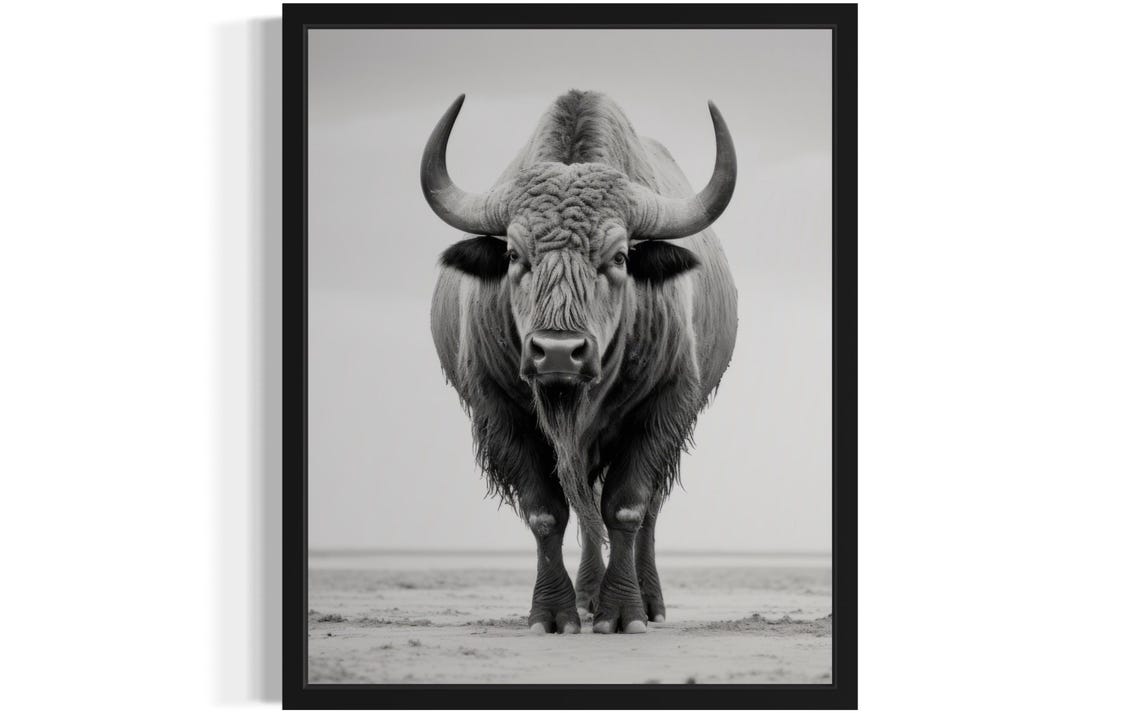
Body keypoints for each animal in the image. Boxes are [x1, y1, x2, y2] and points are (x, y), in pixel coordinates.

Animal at [423, 90, 737, 634]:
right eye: (513, 254)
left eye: (618, 257)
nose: (557, 351)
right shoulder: (498, 412)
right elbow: (546, 513)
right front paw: (554, 614)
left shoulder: (666, 406)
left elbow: (628, 509)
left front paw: (624, 613)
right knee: (585, 506)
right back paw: (588, 596)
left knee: (645, 512)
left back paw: (647, 602)